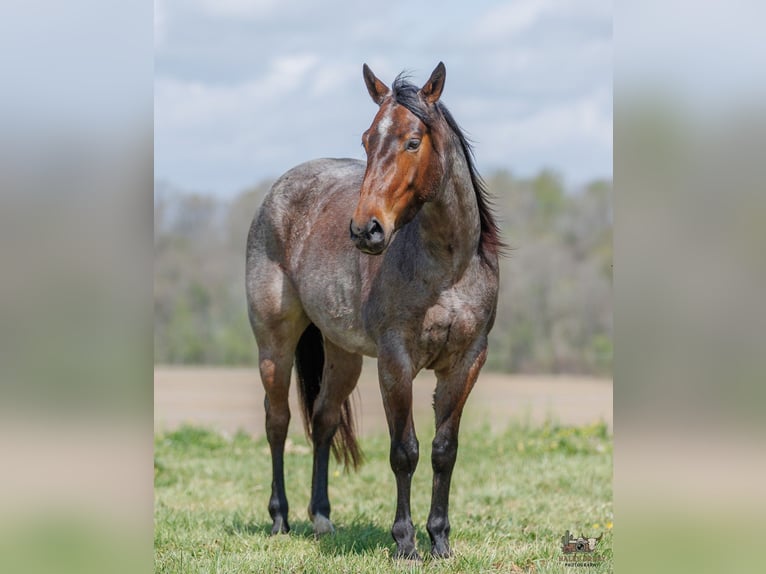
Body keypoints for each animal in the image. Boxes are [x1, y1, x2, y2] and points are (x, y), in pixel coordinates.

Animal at [246, 62, 501, 560]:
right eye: (366, 140)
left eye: (413, 141)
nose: (366, 230)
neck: (447, 269)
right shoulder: (395, 361)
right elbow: (405, 451)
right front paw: (404, 542)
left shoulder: (466, 362)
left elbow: (444, 450)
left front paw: (440, 540)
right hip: (274, 344)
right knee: (278, 421)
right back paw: (280, 519)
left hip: (342, 354)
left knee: (323, 419)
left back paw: (322, 519)